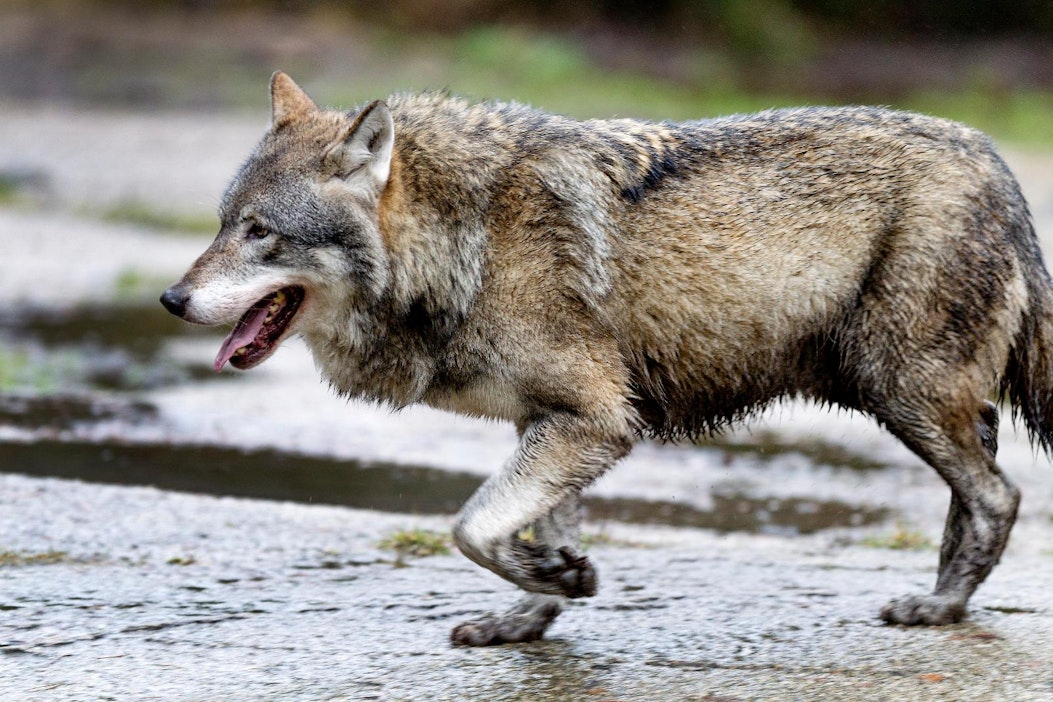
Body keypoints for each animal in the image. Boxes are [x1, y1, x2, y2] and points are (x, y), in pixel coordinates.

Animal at [160, 72, 1048, 648]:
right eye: (222, 223)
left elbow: (468, 526)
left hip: (898, 394)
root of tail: (995, 164)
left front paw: (555, 583)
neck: (466, 243)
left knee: (998, 497)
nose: (170, 298)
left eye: (260, 233)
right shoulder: (554, 422)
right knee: (977, 490)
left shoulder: (594, 421)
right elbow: (523, 531)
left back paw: (940, 608)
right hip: (916, 402)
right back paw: (948, 597)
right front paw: (536, 606)